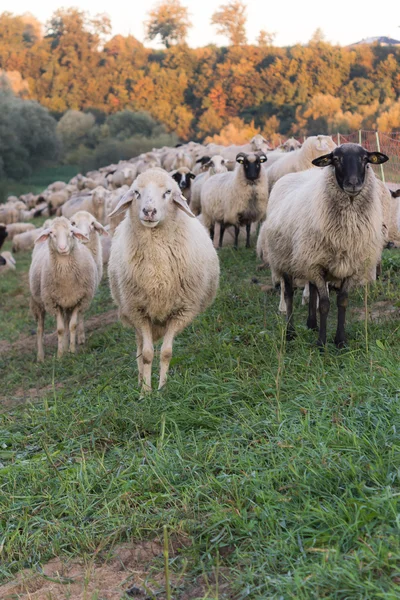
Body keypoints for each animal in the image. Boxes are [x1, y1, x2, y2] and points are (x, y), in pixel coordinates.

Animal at [29, 219, 97, 364]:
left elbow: (72, 326)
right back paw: (40, 357)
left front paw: (71, 351)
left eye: (71, 231)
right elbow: (60, 330)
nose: (62, 248)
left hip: (67, 304)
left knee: (67, 324)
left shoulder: (79, 301)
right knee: (40, 329)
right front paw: (60, 355)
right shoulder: (53, 303)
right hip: (38, 303)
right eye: (51, 233)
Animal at [108, 169, 219, 394]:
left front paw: (162, 389)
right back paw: (140, 380)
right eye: (136, 192)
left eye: (168, 192)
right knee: (139, 348)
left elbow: (166, 353)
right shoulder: (139, 311)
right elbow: (147, 354)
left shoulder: (182, 312)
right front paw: (145, 392)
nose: (149, 211)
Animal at [262, 144, 388, 346]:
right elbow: (324, 304)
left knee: (312, 288)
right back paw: (290, 333)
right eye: (336, 159)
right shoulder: (316, 264)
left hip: (308, 257)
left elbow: (342, 301)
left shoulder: (350, 265)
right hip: (284, 258)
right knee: (289, 294)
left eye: (365, 159)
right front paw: (322, 343)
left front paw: (340, 341)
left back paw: (312, 324)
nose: (353, 183)